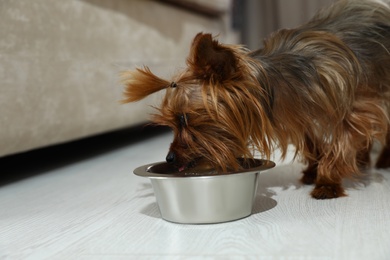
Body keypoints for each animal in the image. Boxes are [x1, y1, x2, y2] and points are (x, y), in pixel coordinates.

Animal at [122, 0, 390, 199]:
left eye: (183, 119)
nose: (170, 158)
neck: (278, 84)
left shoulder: (352, 108)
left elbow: (341, 143)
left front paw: (327, 181)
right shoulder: (300, 118)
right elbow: (314, 144)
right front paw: (314, 171)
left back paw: (381, 160)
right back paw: (363, 160)